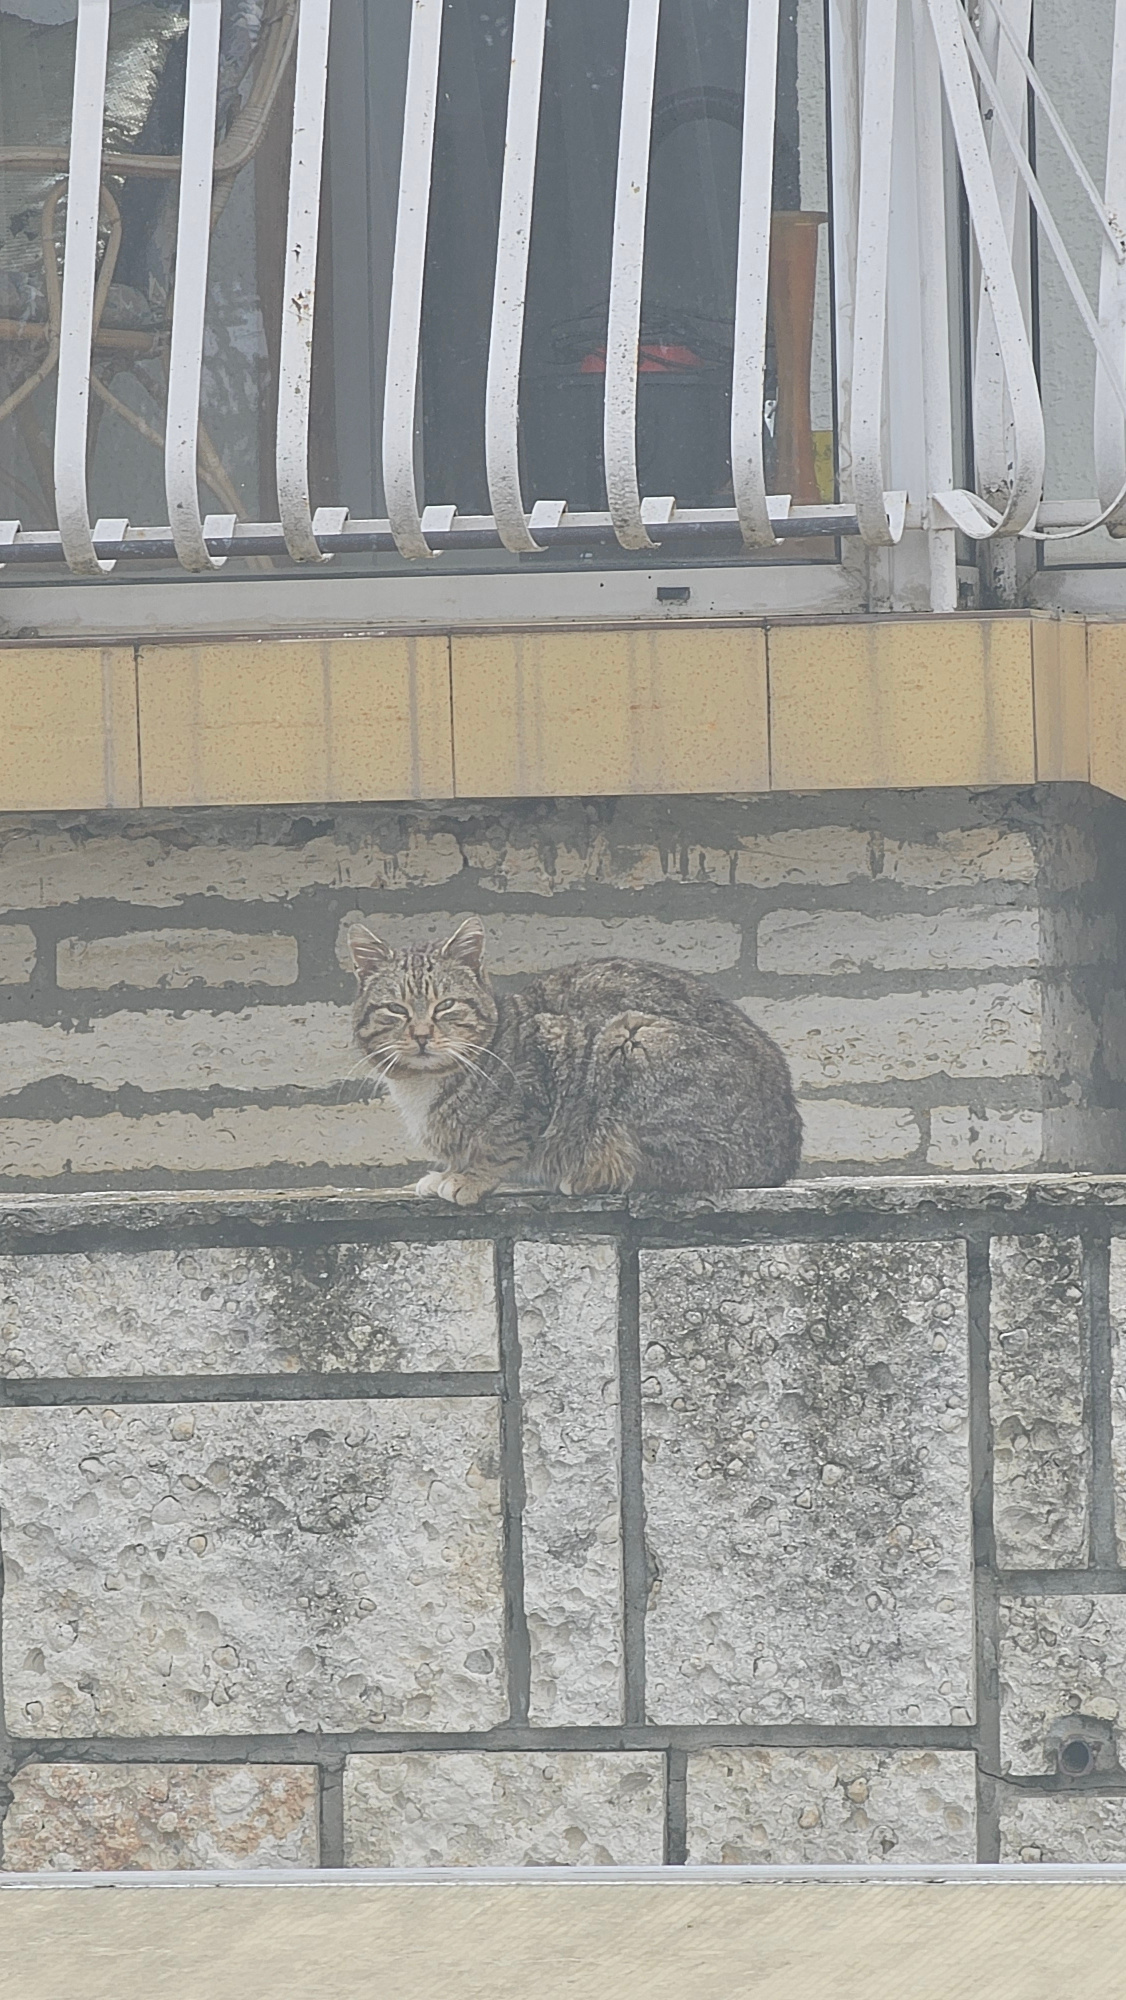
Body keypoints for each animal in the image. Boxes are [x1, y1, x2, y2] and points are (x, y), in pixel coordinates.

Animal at [350, 916, 801, 1203]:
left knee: (675, 1171)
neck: (423, 1086)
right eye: (395, 1010)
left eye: (445, 1006)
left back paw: (589, 1177)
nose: (422, 1035)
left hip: (631, 1036)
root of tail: (784, 1154)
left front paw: (468, 1179)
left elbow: (500, 1145)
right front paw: (447, 1172)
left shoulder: (547, 1057)